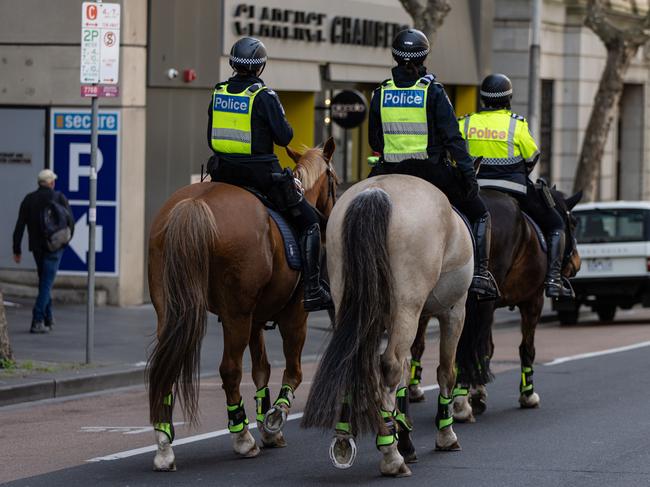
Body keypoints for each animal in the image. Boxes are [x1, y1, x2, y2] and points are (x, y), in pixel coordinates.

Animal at [145, 138, 336, 472]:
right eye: (335, 181)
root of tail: (194, 204)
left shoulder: (255, 320)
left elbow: (261, 369)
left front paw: (268, 427)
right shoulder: (294, 316)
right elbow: (293, 372)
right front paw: (275, 418)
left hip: (171, 310)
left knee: (165, 368)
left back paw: (164, 446)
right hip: (236, 314)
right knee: (230, 370)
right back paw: (242, 438)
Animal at [404, 189, 584, 422]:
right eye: (573, 223)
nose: (576, 264)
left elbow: (484, 348)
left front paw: (476, 393)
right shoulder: (532, 301)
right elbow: (525, 349)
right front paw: (527, 395)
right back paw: (460, 404)